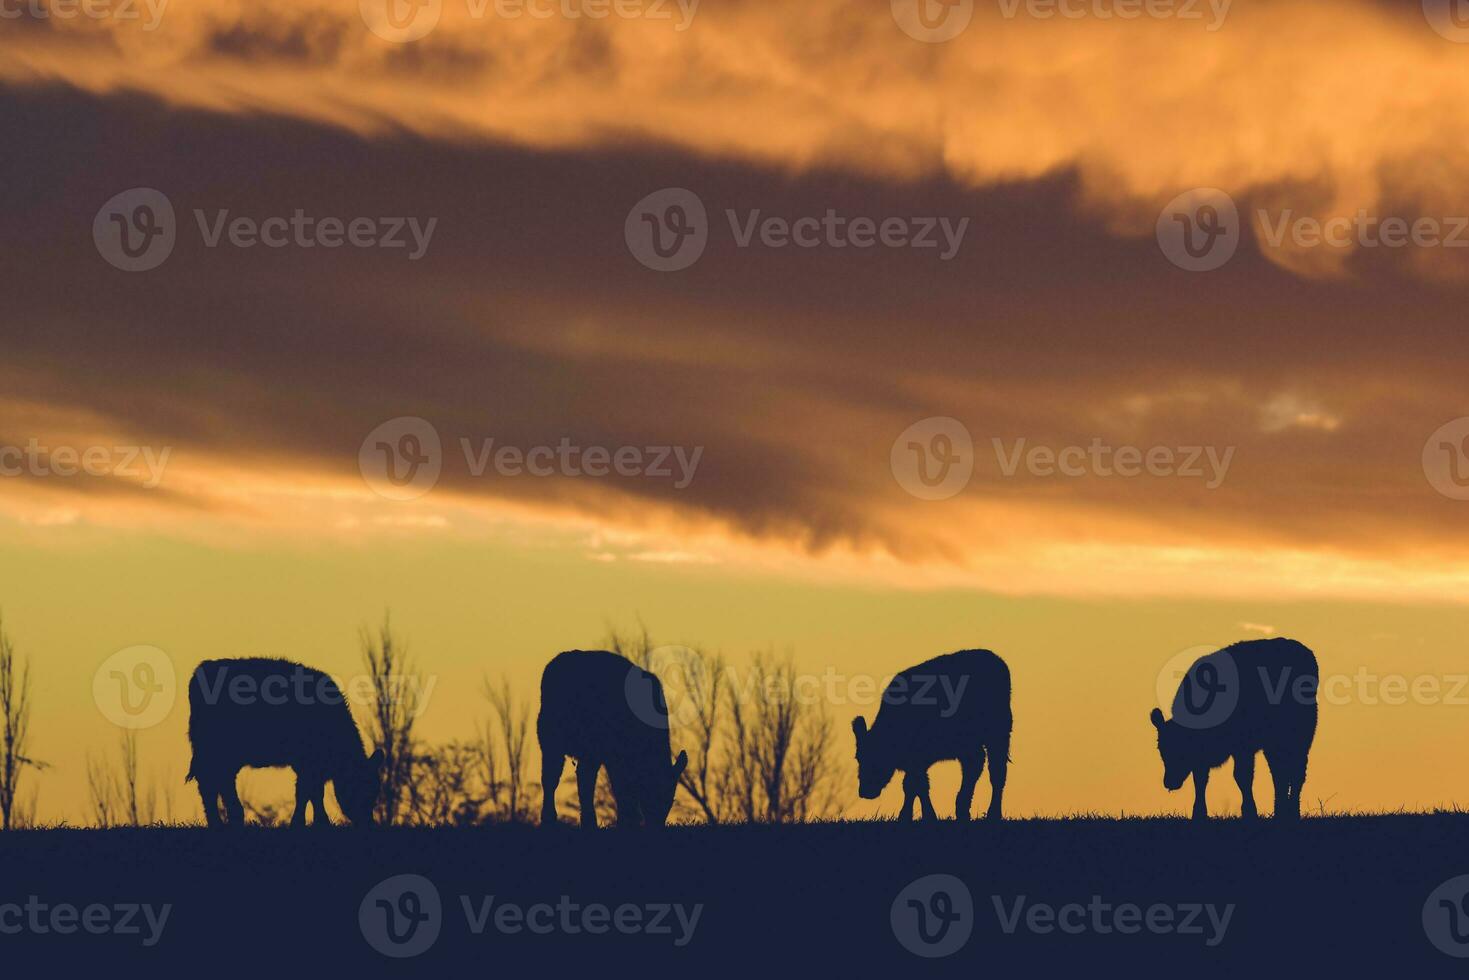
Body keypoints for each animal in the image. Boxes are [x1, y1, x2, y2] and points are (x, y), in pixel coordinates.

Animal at [186, 658, 381, 828]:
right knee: (211, 781)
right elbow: (305, 791)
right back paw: (224, 819)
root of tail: (202, 668)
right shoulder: (307, 763)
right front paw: (303, 822)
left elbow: (314, 793)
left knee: (219, 780)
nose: (368, 822)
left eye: (374, 793)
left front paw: (319, 822)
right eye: (361, 788)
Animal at [540, 652, 687, 828]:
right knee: (551, 778)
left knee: (584, 780)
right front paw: (627, 820)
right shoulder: (614, 757)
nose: (655, 824)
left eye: (670, 800)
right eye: (652, 794)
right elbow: (621, 788)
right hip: (550, 739)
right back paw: (549, 818)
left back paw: (589, 822)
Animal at [852, 652, 1010, 822]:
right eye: (858, 757)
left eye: (876, 757)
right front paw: (909, 815)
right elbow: (913, 786)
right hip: (969, 745)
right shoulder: (916, 762)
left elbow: (916, 785)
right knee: (974, 766)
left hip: (998, 736)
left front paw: (923, 815)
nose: (864, 792)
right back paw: (962, 809)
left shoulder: (918, 758)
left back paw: (993, 813)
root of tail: (996, 659)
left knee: (997, 772)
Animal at [1145, 637, 1322, 822]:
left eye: (1180, 750)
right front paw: (1199, 813)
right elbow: (1200, 780)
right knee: (1279, 773)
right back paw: (1280, 811)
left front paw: (1250, 812)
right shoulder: (1203, 755)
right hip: (1275, 743)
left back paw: (1292, 811)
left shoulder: (1243, 747)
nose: (1169, 782)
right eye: (1161, 749)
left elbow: (1242, 776)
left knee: (1296, 772)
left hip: (1301, 735)